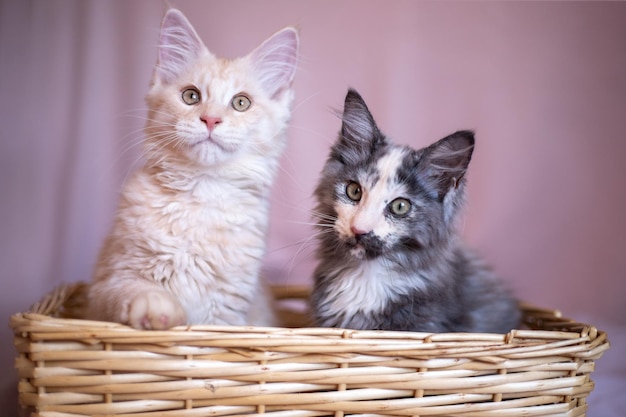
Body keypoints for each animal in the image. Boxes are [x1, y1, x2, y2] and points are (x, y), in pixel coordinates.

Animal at [84, 8, 298, 330]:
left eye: (241, 102)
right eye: (191, 96)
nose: (210, 119)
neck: (203, 190)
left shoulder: (229, 311)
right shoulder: (108, 279)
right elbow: (128, 289)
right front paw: (155, 308)